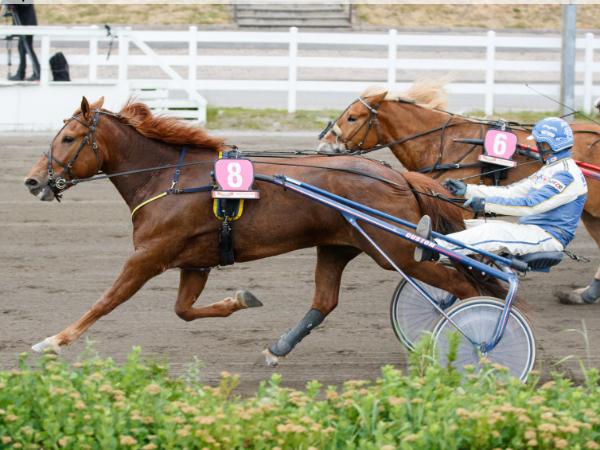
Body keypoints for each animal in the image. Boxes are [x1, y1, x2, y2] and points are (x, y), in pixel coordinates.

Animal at [23, 96, 498, 365]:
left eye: (68, 138)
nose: (33, 181)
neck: (168, 179)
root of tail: (397, 176)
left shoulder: (148, 256)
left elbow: (105, 302)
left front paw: (53, 342)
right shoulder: (195, 263)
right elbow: (184, 310)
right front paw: (241, 299)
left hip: (395, 252)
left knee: (467, 288)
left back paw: (478, 343)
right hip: (338, 246)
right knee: (324, 301)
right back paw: (278, 348)